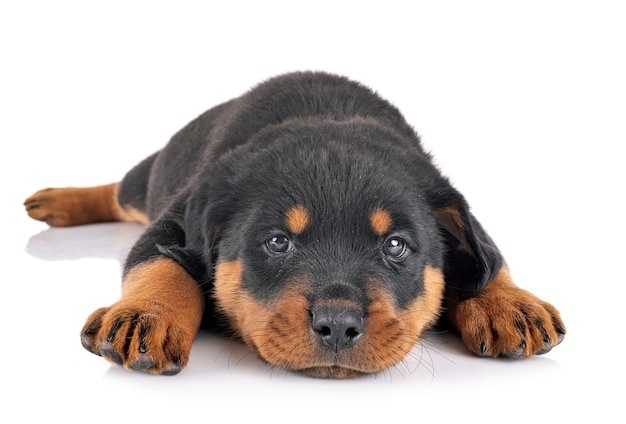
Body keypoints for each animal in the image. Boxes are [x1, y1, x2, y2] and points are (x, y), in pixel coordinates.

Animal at [24, 71, 564, 380]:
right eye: (277, 243)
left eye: (395, 246)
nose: (338, 325)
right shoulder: (173, 223)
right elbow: (162, 265)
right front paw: (147, 315)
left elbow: (486, 256)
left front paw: (507, 302)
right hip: (149, 178)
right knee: (119, 190)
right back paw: (56, 201)